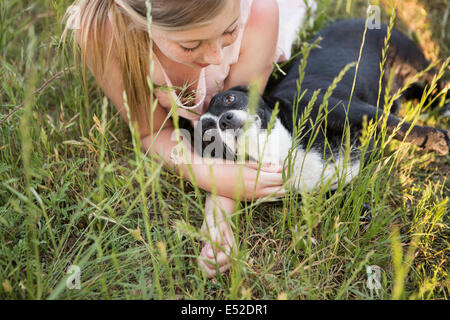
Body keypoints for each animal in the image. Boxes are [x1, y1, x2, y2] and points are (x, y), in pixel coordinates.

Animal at [195, 19, 448, 192]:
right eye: (208, 133)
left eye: (229, 99)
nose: (225, 120)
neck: (282, 146)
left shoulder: (354, 111)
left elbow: (401, 128)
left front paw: (435, 139)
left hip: (417, 64)